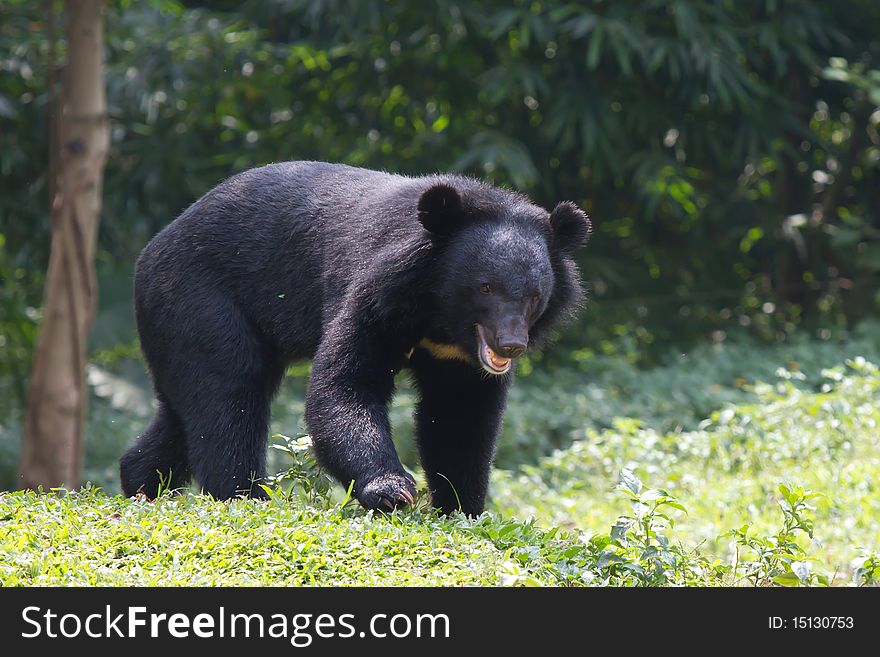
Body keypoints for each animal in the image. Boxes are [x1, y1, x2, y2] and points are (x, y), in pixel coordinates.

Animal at [120, 161, 592, 516]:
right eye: (485, 287)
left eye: (535, 296)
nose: (509, 345)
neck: (441, 317)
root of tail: (151, 250)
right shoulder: (378, 292)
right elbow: (346, 383)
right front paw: (392, 490)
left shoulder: (458, 358)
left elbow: (460, 416)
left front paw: (462, 508)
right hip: (201, 300)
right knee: (229, 391)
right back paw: (244, 495)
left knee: (188, 407)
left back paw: (142, 483)